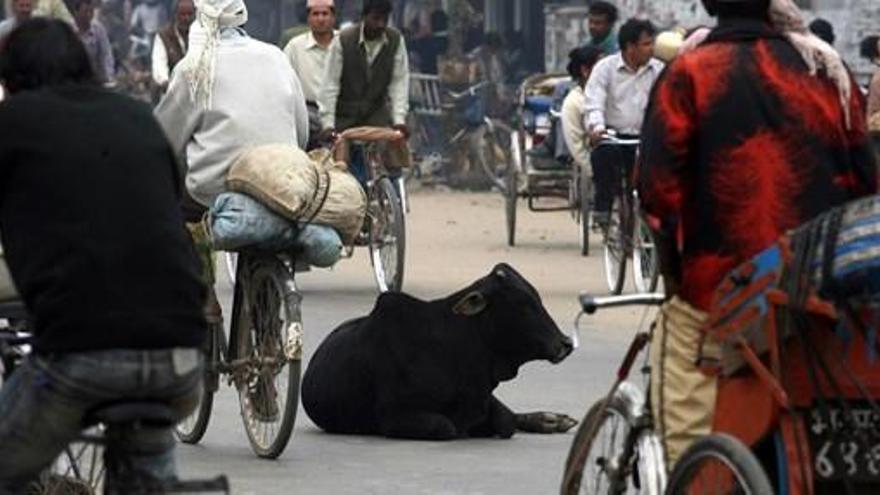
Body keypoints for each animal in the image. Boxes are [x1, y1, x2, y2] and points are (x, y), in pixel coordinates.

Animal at [302, 264, 576, 442]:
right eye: (522, 304)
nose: (565, 343)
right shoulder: (392, 416)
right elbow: (446, 427)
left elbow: (506, 421)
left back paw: (553, 420)